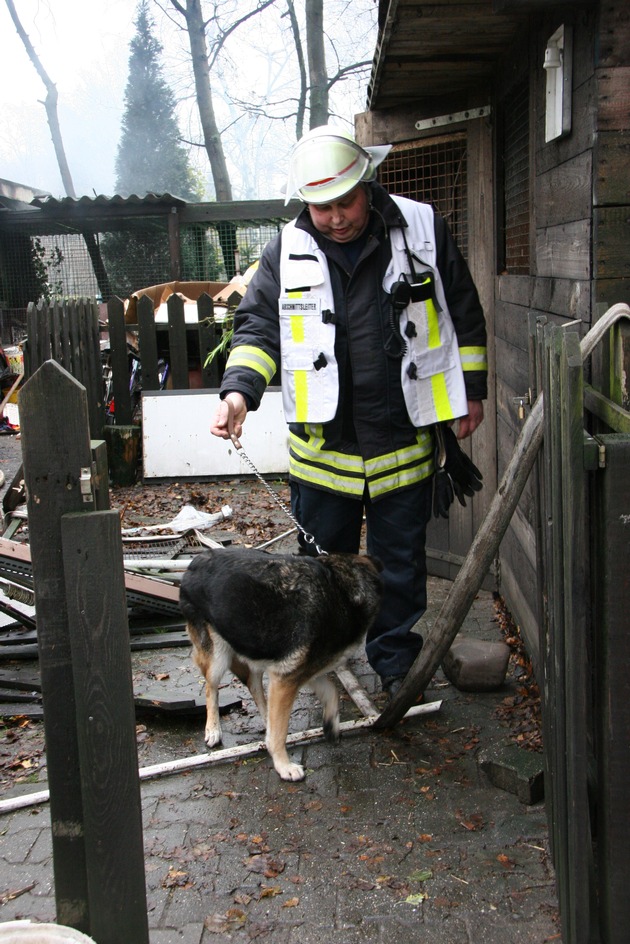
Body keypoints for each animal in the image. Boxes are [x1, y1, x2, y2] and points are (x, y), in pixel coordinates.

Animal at [179, 544, 386, 780]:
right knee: (211, 688)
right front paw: (283, 765)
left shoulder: (302, 673)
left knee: (254, 685)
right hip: (218, 657)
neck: (341, 591)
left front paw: (331, 723)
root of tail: (195, 562)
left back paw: (266, 718)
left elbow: (331, 690)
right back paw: (213, 729)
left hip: (254, 650)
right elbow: (279, 733)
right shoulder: (287, 678)